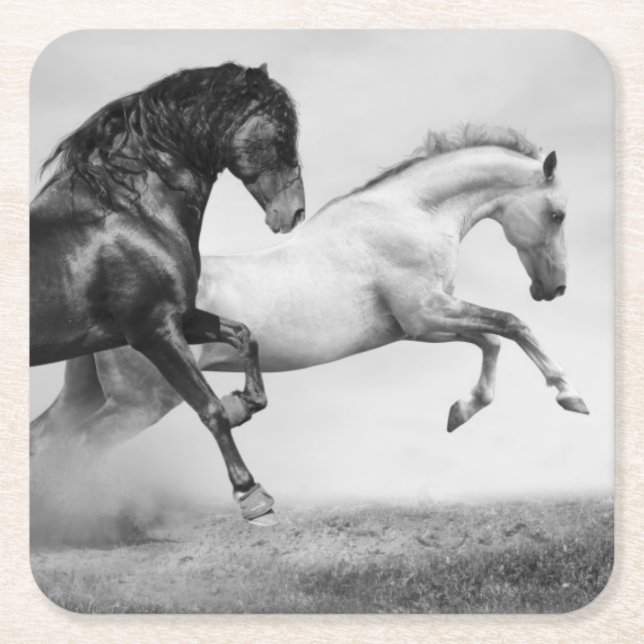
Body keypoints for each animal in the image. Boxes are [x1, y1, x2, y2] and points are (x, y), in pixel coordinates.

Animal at [30, 63, 305, 523]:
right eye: (281, 133)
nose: (294, 213)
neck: (131, 214)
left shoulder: (180, 318)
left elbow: (244, 336)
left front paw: (243, 403)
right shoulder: (153, 332)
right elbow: (209, 409)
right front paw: (251, 495)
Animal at [32, 124, 589, 523]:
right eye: (558, 214)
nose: (555, 289)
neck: (410, 216)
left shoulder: (428, 320)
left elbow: (492, 342)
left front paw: (462, 411)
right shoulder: (425, 316)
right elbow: (511, 326)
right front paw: (570, 396)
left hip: (89, 395)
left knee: (44, 439)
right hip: (140, 404)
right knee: (77, 449)